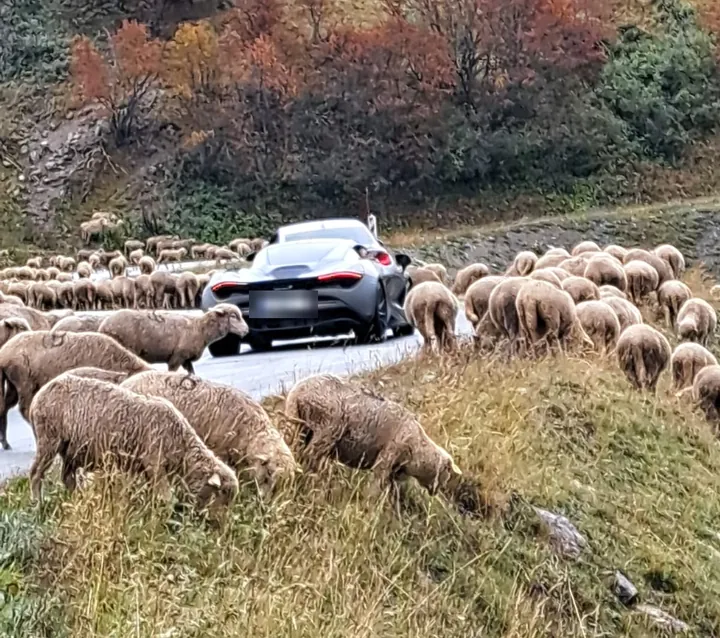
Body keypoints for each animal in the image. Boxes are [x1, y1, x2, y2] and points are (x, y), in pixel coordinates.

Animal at [0, 331, 151, 450]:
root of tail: (4, 354)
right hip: (24, 382)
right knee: (24, 408)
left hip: (12, 385)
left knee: (5, 407)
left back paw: (6, 443)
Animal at [28, 374, 239, 514]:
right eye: (221, 493)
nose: (219, 525)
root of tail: (38, 395)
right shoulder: (154, 463)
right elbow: (166, 498)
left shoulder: (148, 470)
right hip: (49, 438)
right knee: (36, 473)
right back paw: (38, 504)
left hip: (71, 448)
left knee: (67, 477)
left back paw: (78, 500)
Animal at [99, 304, 248, 374]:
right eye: (233, 316)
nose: (247, 330)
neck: (200, 329)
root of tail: (103, 326)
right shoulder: (177, 357)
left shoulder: (186, 360)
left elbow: (193, 374)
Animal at [284, 374, 462, 501]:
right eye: (446, 473)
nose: (436, 492)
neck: (418, 450)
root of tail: (297, 393)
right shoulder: (388, 455)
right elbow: (378, 485)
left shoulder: (394, 471)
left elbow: (394, 493)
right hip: (326, 429)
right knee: (310, 457)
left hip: (298, 427)